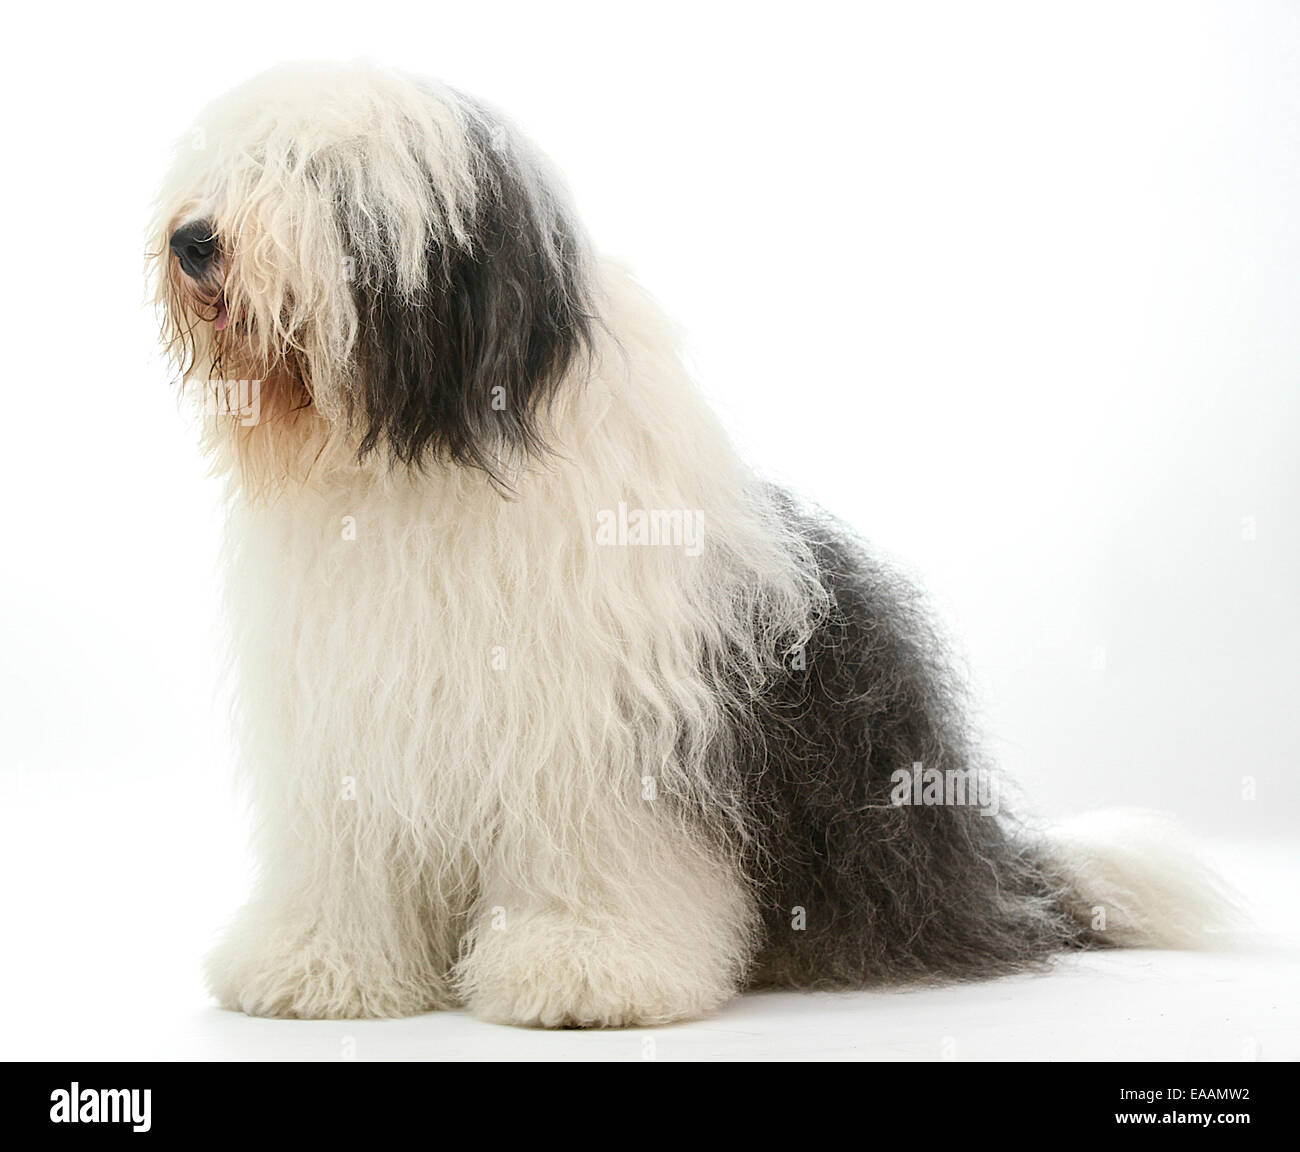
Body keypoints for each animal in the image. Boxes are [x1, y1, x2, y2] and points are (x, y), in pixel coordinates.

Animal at [152, 60, 1227, 1029]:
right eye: (239, 161)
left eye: (324, 175)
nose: (192, 239)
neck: (426, 463)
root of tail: (1000, 871)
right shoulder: (349, 722)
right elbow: (349, 858)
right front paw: (317, 967)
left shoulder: (602, 726)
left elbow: (592, 852)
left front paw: (586, 969)